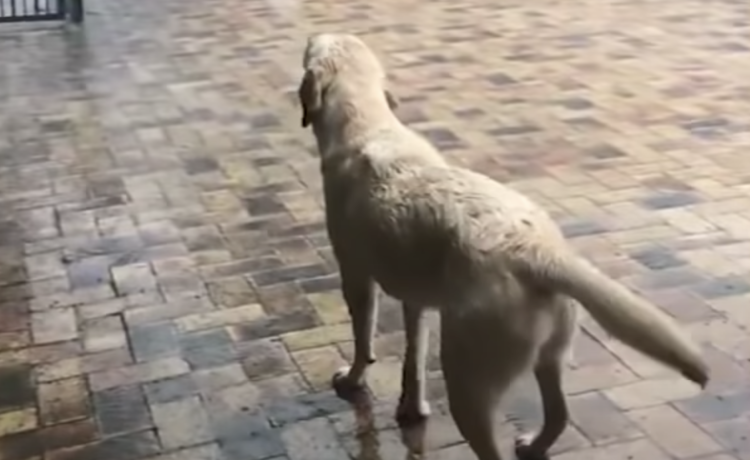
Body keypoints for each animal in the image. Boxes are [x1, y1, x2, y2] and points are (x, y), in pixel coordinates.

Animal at [296, 32, 708, 460]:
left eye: (314, 45)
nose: (312, 33)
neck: (366, 121)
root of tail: (538, 252)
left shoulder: (356, 276)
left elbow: (363, 339)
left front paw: (354, 378)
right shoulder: (417, 299)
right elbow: (413, 358)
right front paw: (411, 408)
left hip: (468, 381)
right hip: (548, 355)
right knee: (559, 414)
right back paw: (535, 444)